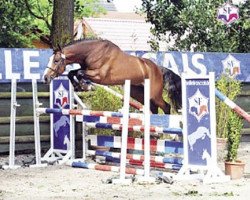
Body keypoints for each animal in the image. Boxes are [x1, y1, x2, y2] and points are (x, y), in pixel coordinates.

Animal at [43, 39, 182, 114]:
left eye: (56, 60)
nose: (45, 78)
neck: (92, 52)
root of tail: (159, 69)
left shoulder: (98, 75)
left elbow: (79, 73)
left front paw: (84, 86)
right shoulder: (86, 69)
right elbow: (72, 73)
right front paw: (79, 86)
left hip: (154, 94)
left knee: (166, 106)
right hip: (139, 93)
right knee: (153, 108)